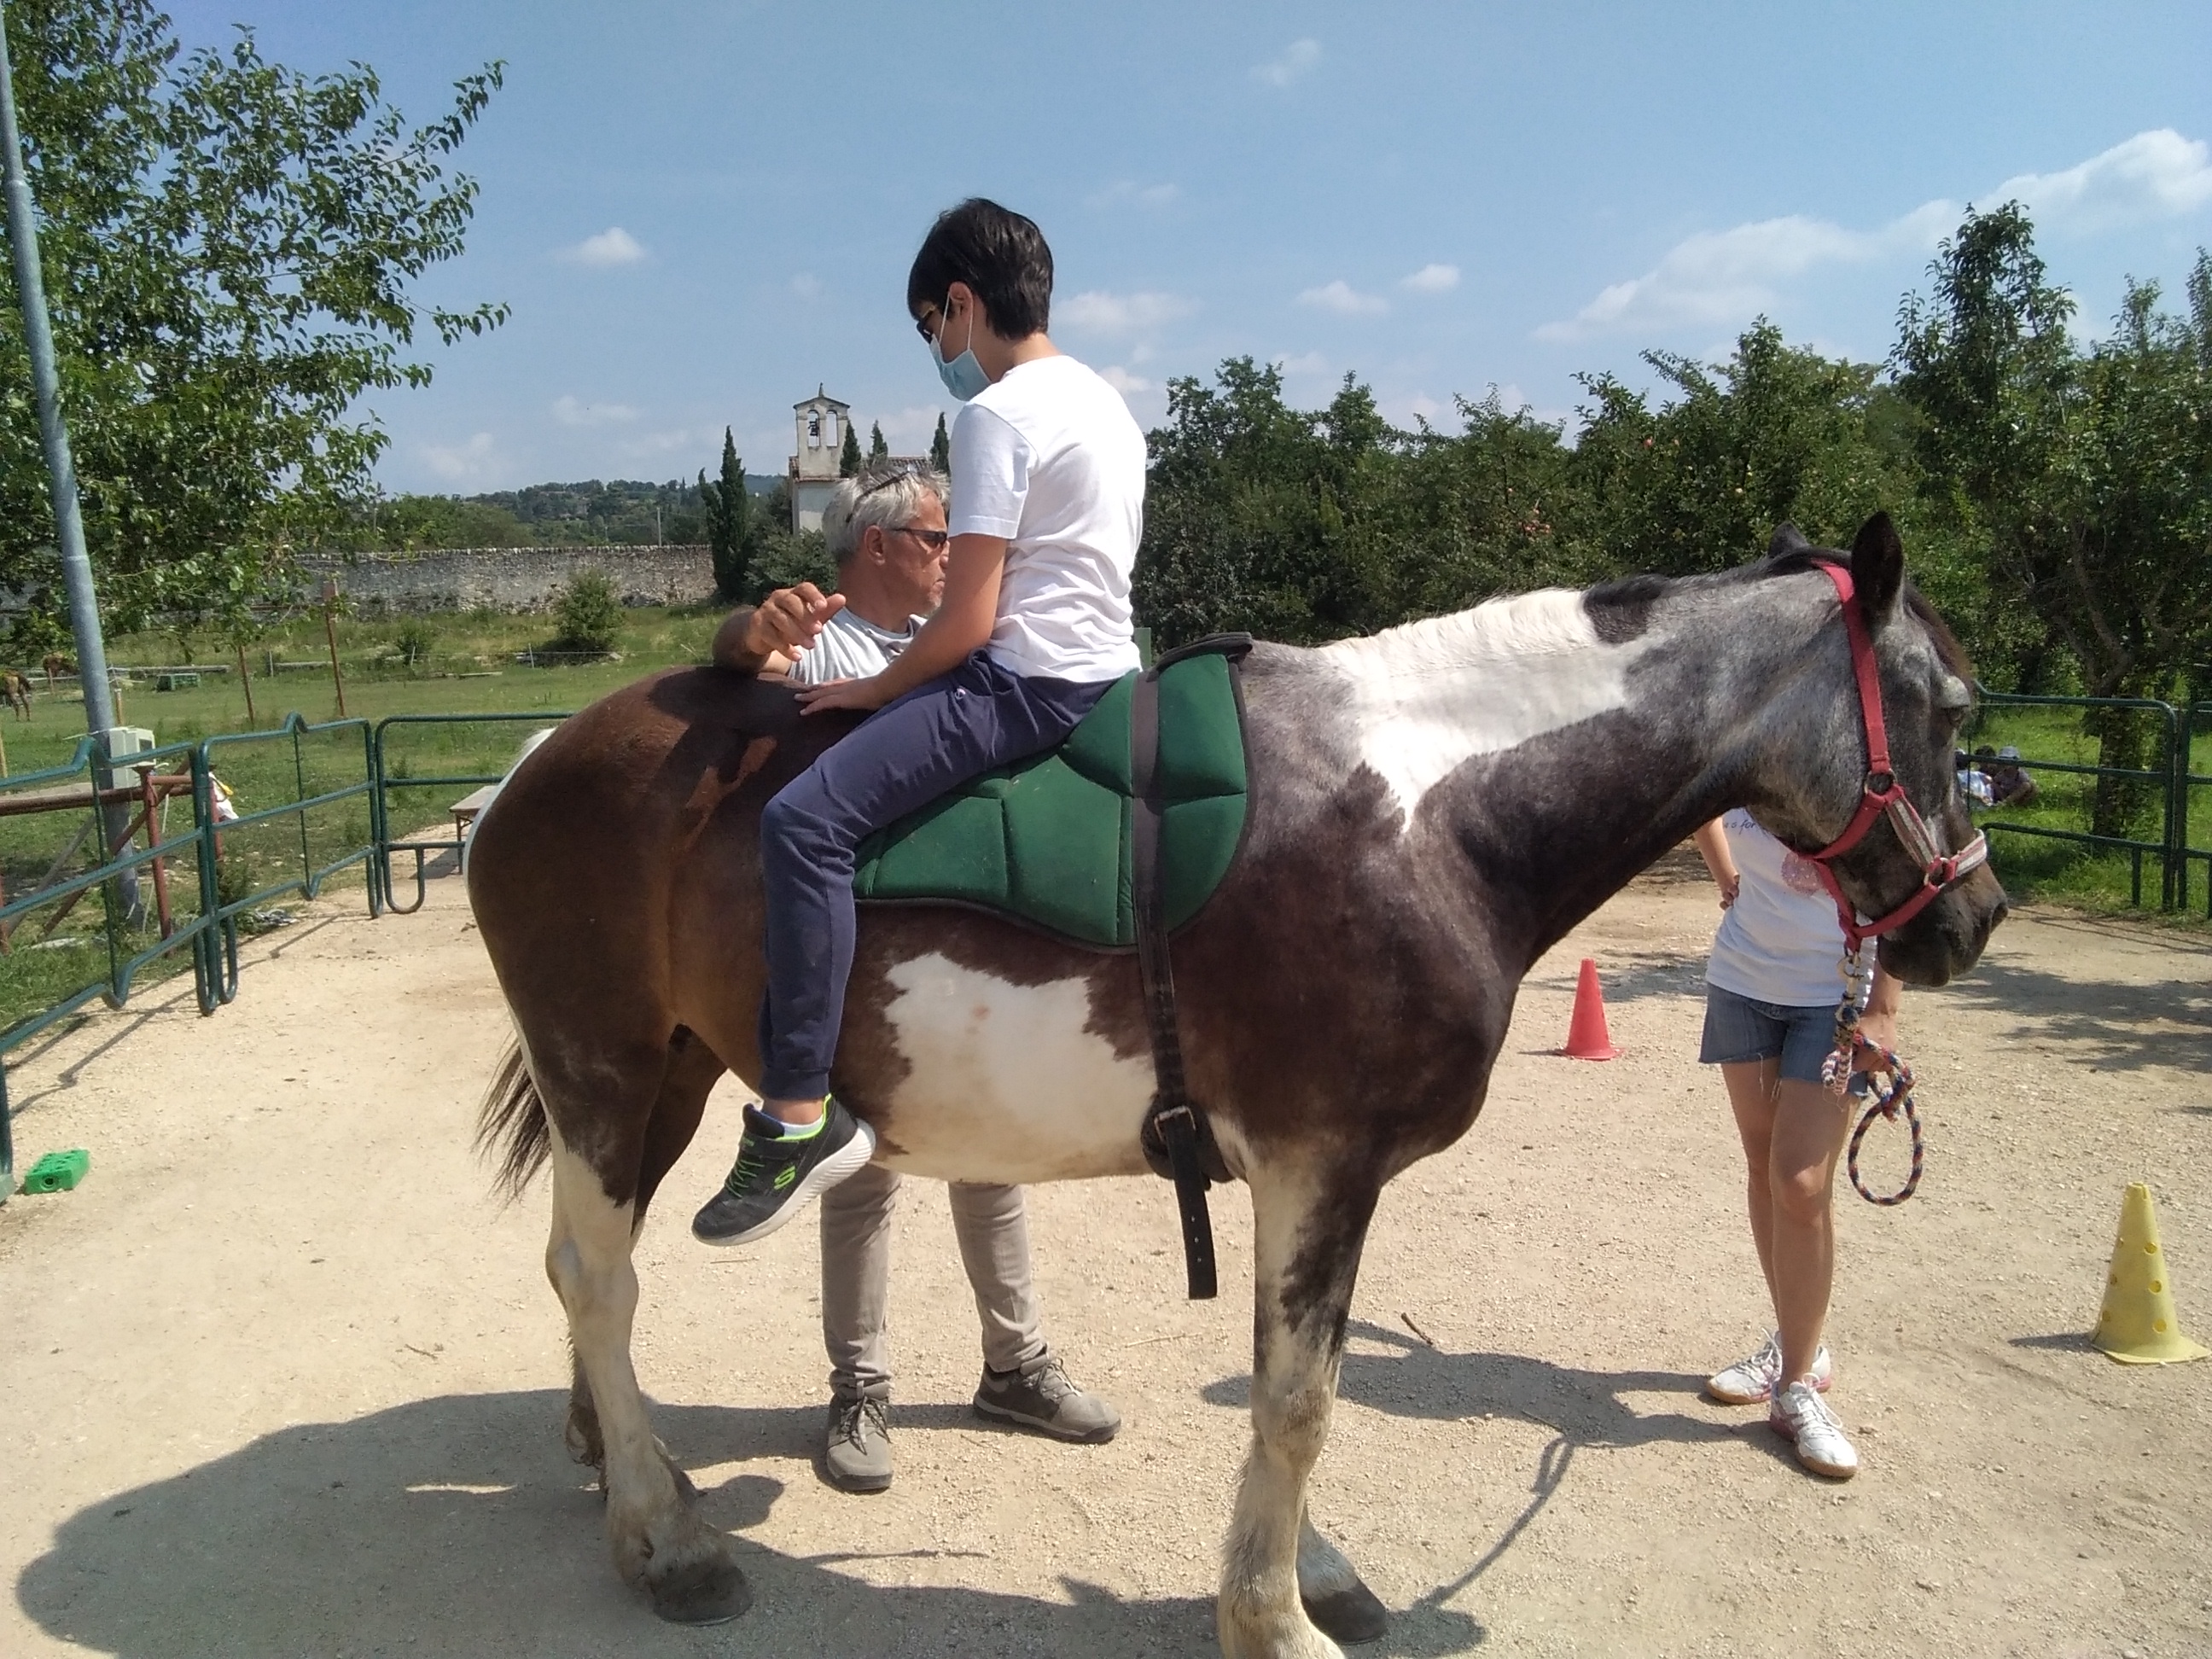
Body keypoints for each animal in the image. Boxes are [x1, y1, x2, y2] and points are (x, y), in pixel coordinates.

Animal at [465, 515, 2006, 1659]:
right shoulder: (1320, 1159)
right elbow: (1297, 1400)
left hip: (667, 1076)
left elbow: (1294, 1380)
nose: (1974, 915)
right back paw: (666, 1538)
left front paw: (1308, 1570)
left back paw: (621, 1460)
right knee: (597, 1278)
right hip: (606, 1064)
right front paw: (1271, 1615)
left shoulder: (1310, 1175)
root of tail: (536, 757)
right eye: (1951, 705)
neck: (1430, 813)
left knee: (588, 1274)